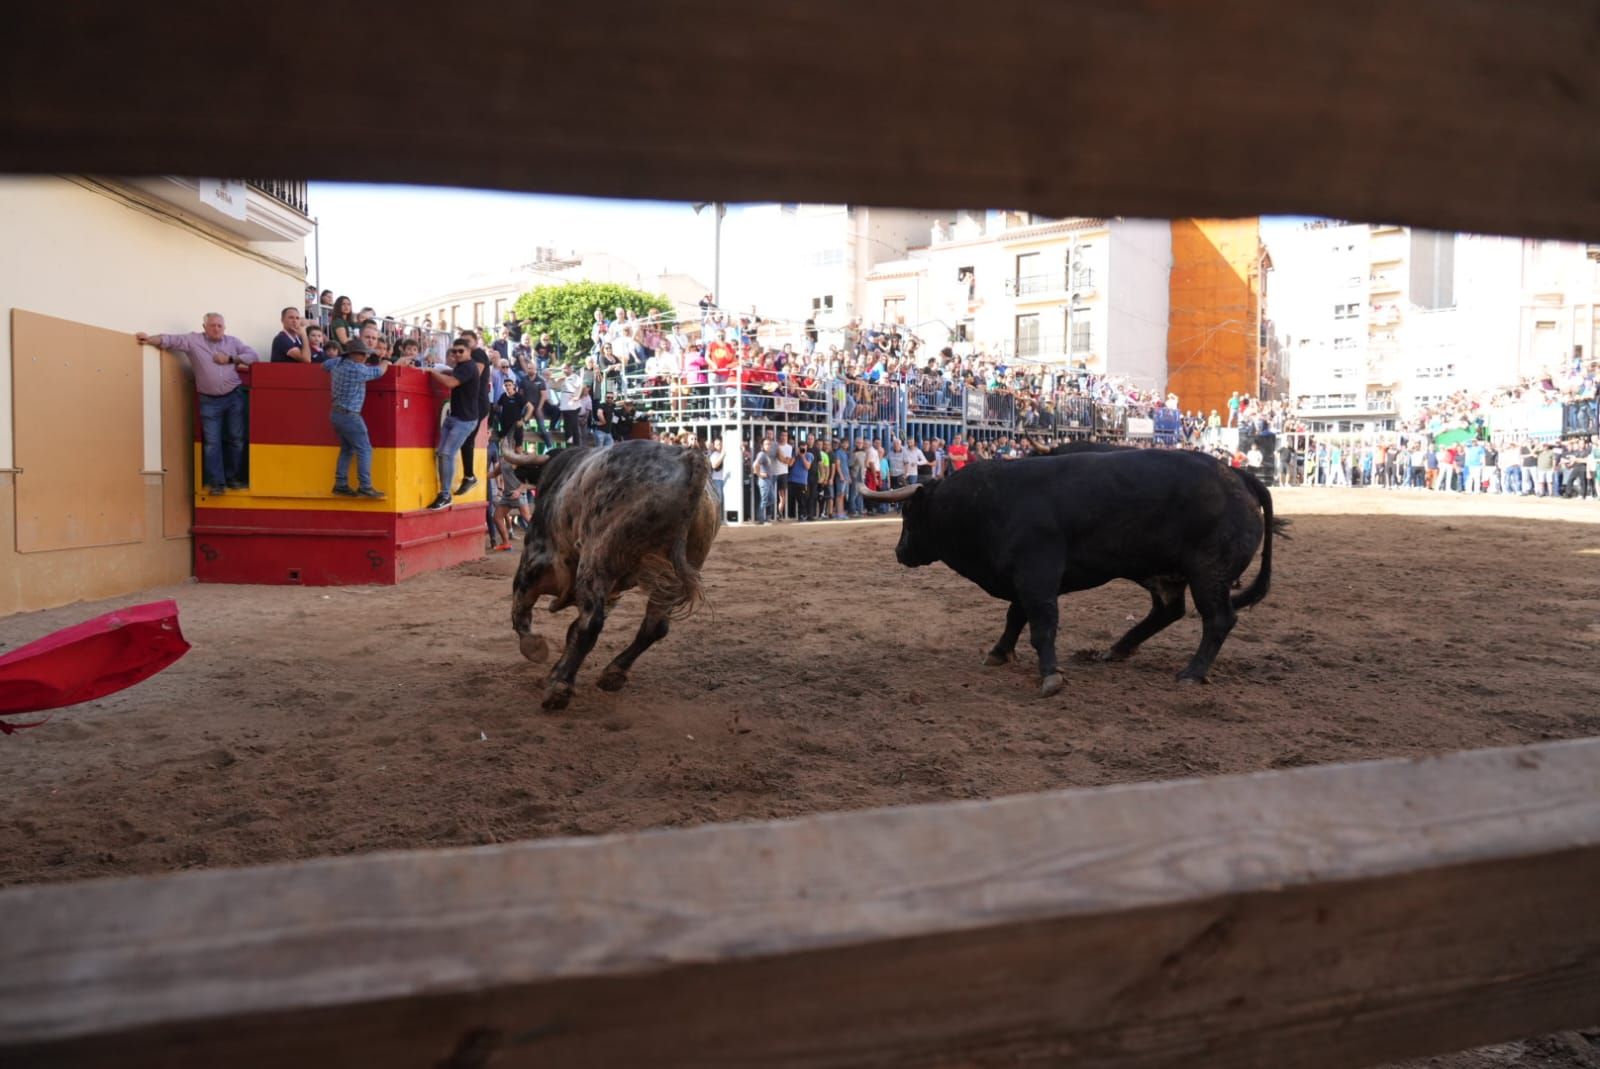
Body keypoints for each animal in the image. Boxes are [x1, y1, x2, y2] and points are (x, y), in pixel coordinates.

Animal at [505, 438, 720, 713]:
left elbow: (521, 613)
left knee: (591, 624)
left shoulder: (534, 562)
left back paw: (559, 689)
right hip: (675, 574)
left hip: (597, 560)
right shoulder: (612, 592)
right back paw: (612, 674)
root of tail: (688, 458)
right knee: (654, 627)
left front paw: (536, 650)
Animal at [864, 448, 1286, 697]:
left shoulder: (1037, 574)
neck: (987, 501)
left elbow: (1041, 625)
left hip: (1208, 574)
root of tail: (1239, 476)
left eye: (909, 513)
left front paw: (1050, 674)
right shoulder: (1024, 579)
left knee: (1217, 620)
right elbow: (1015, 618)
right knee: (1169, 610)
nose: (899, 551)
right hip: (1165, 572)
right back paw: (1117, 649)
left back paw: (1192, 672)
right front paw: (1000, 652)